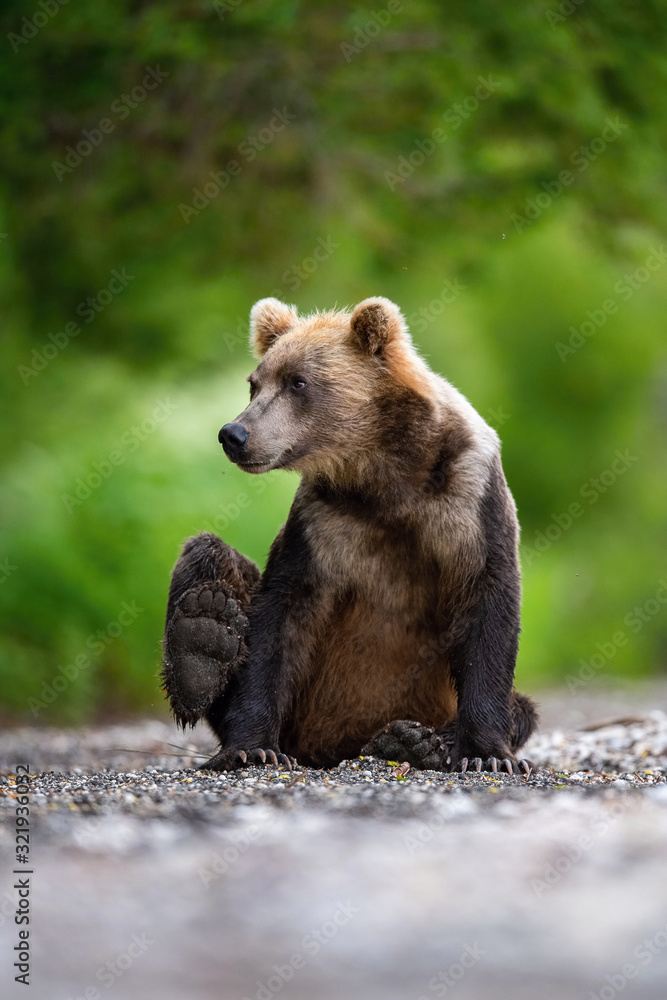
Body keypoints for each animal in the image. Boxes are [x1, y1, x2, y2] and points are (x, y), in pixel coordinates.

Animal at [161, 296, 538, 774]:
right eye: (254, 384)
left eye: (298, 381)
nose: (234, 434)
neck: (382, 473)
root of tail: (332, 748)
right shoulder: (322, 523)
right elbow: (279, 617)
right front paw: (252, 747)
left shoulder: (470, 500)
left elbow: (489, 605)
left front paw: (487, 754)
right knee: (206, 555)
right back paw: (203, 641)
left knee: (523, 708)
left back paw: (415, 741)